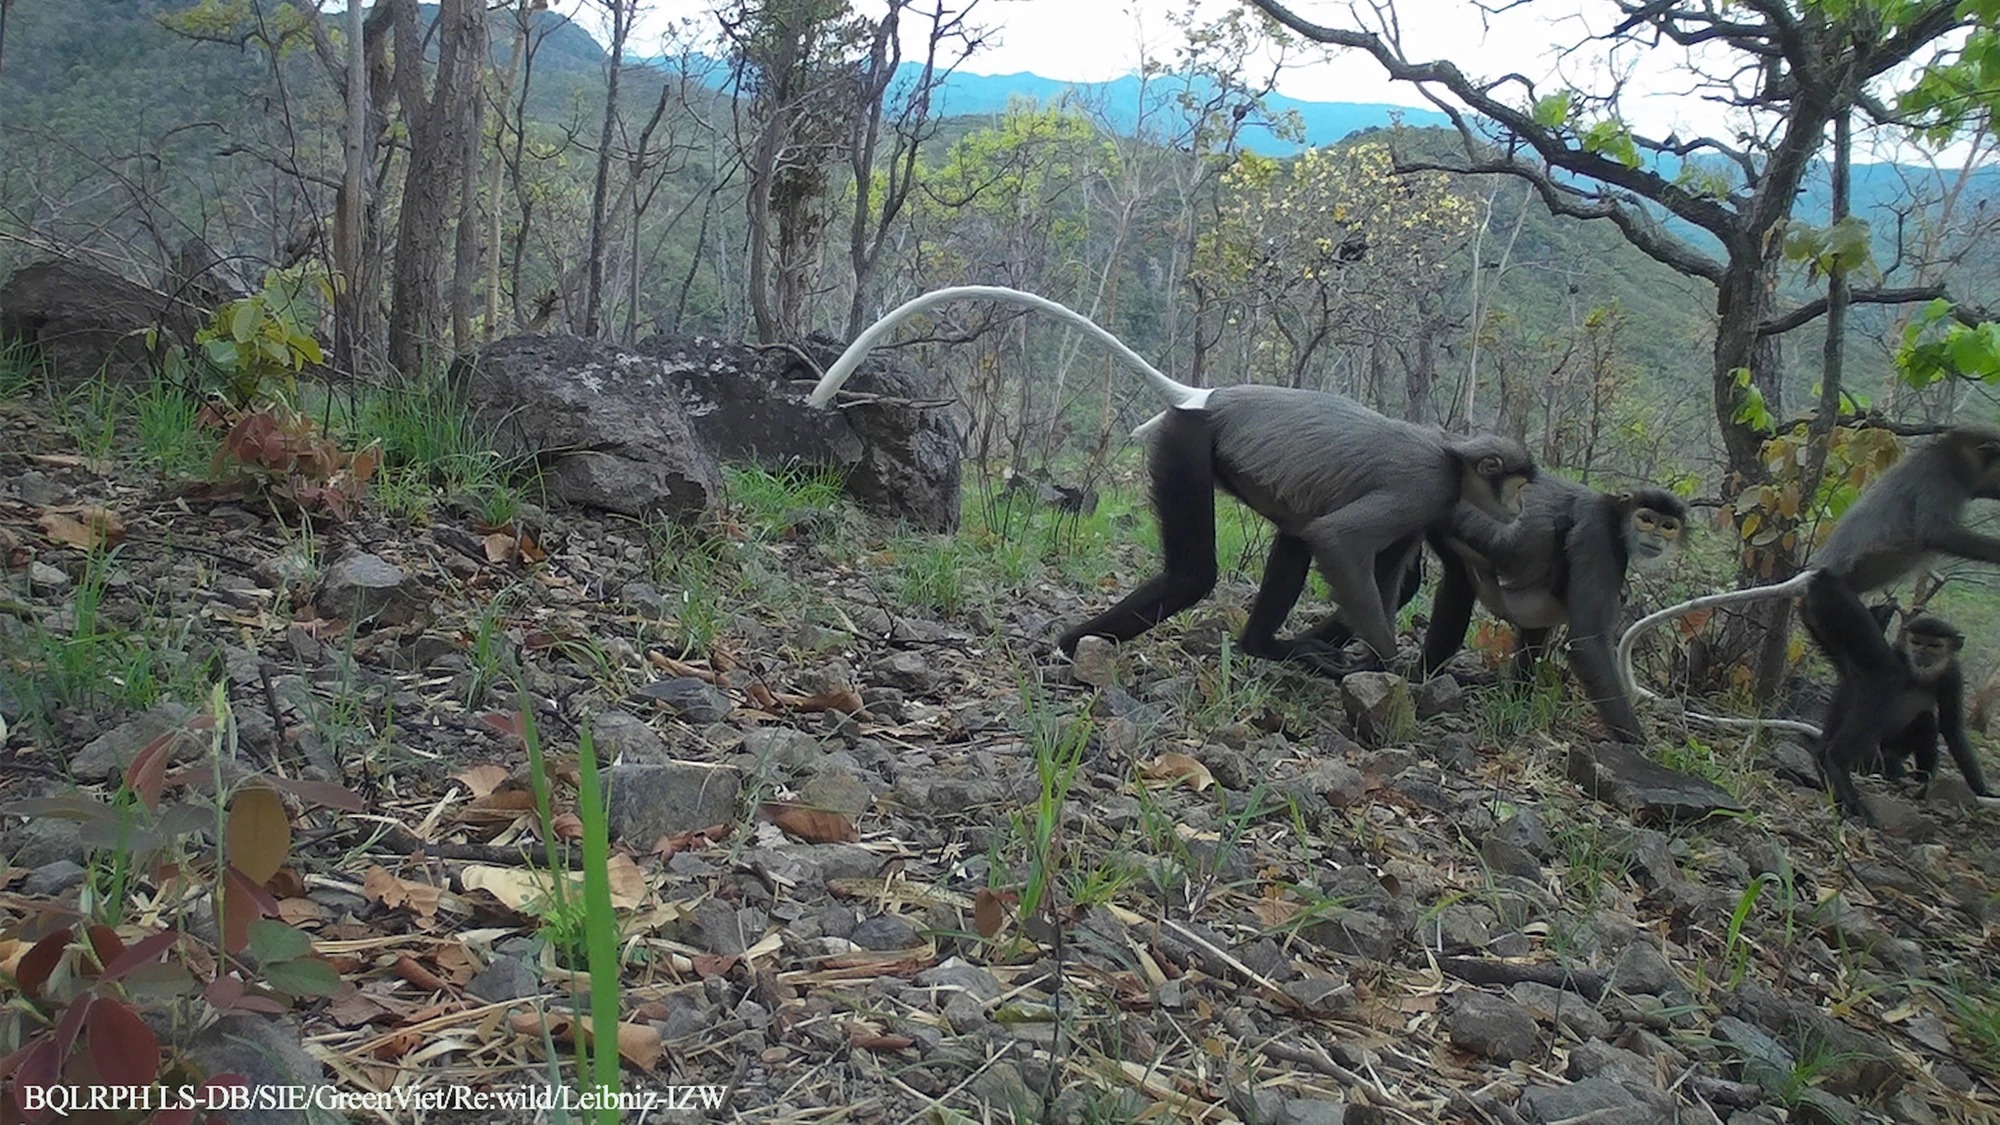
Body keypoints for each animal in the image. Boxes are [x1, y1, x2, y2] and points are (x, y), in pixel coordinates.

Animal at [804, 282, 1536, 664]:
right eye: (1516, 481)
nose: (1521, 510)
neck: (1453, 455)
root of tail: (1206, 397)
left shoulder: (1425, 505)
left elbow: (1384, 569)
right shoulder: (1423, 485)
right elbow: (1342, 543)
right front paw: (1388, 665)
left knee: (1293, 535)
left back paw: (1259, 647)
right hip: (1185, 443)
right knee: (1198, 573)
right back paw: (1077, 644)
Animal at [1800, 420, 2000, 812]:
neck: (1956, 455)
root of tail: (1815, 579)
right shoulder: (1940, 473)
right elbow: (1937, 532)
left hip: (1823, 621)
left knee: (1854, 677)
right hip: (1837, 604)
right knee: (1884, 674)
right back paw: (1839, 764)